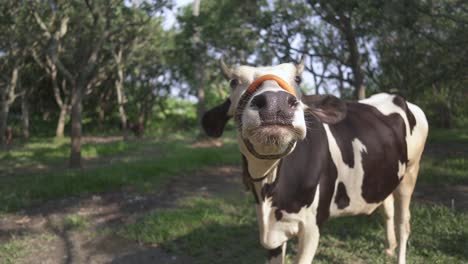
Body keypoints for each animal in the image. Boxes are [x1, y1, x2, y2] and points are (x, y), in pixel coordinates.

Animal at [201, 57, 428, 264]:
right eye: (233, 81)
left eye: (298, 79)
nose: (275, 102)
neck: (271, 190)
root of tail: (396, 97)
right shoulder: (272, 232)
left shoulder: (312, 226)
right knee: (387, 209)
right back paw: (389, 248)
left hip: (411, 172)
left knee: (403, 223)